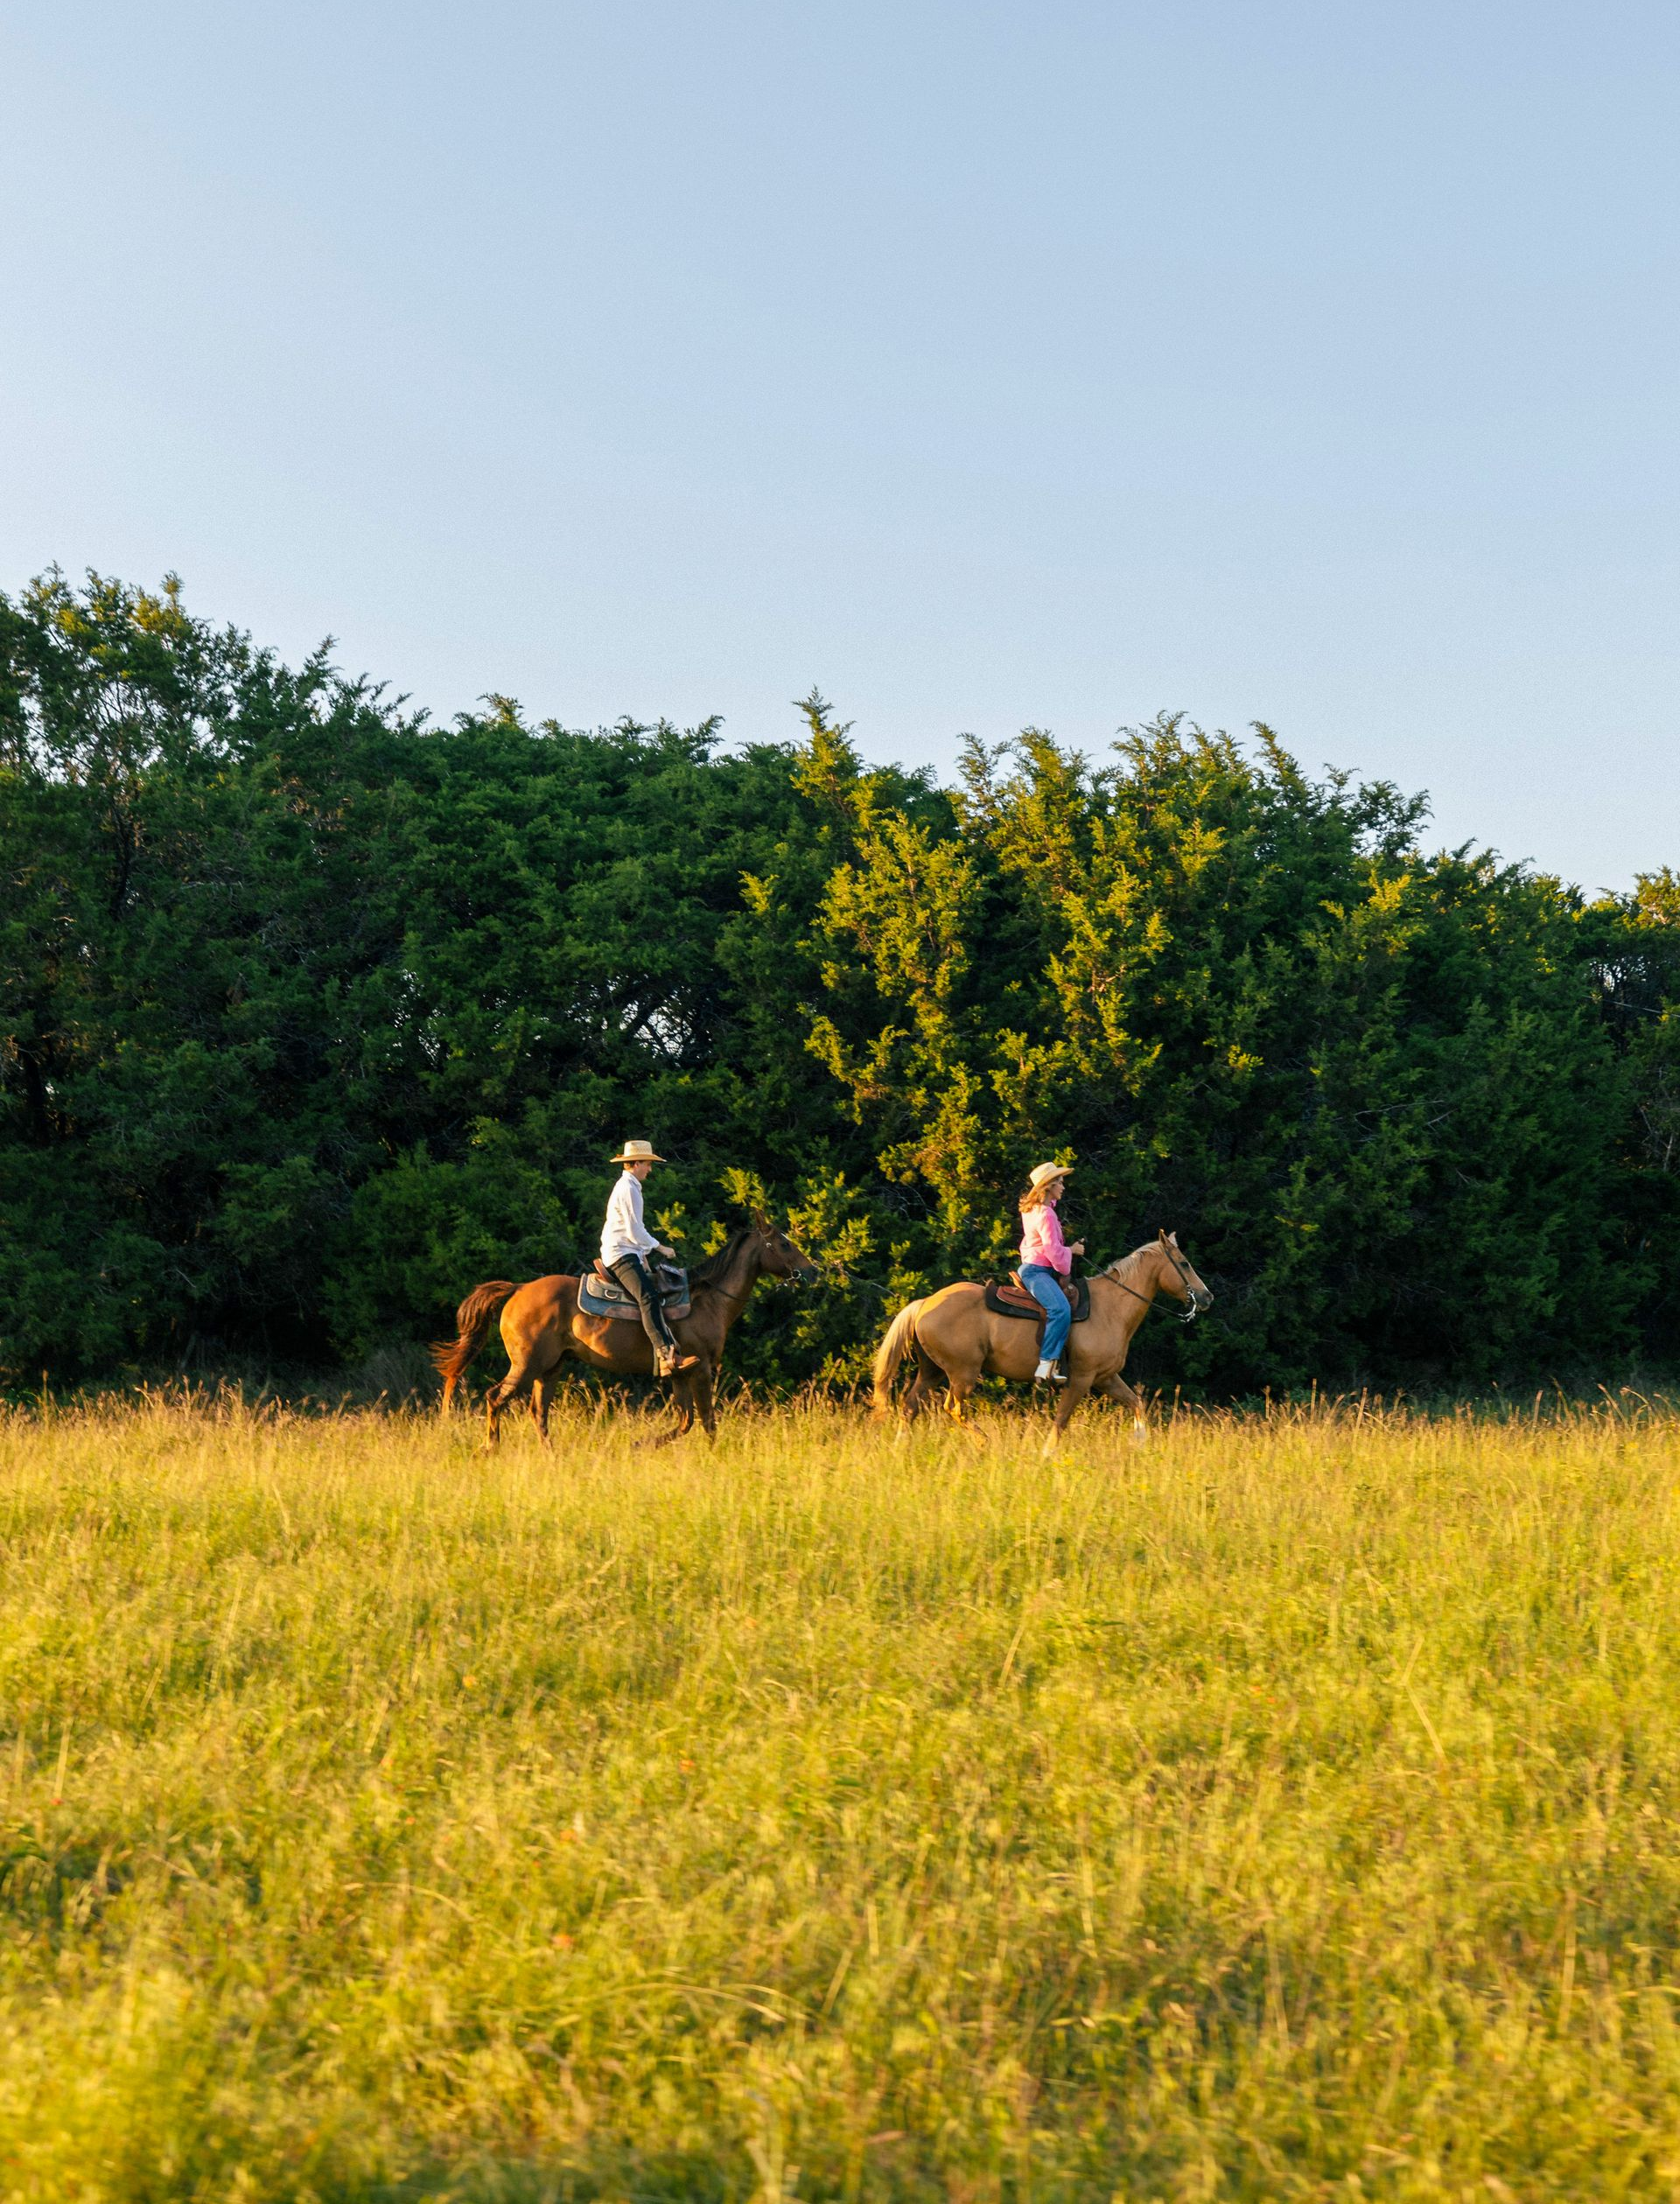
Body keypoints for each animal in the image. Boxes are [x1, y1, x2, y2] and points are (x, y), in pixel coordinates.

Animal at [430, 1212, 819, 1445]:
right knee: (496, 1398)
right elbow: (706, 1421)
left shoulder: (680, 1373)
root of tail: (519, 1289)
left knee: (538, 1412)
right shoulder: (703, 1369)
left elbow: (686, 1421)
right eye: (783, 1243)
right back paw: (490, 1448)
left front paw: (639, 1444)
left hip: (550, 1367)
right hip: (527, 1364)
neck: (709, 1300)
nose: (813, 1271)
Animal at [870, 1230, 1212, 1447]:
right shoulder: (1081, 1379)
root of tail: (925, 1303)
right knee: (953, 1408)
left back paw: (901, 1447)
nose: (1207, 1297)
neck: (1110, 1307)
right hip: (962, 1372)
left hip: (932, 1371)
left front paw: (1140, 1442)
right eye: (1184, 1263)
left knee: (910, 1406)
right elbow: (1061, 1420)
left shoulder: (1106, 1377)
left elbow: (1136, 1402)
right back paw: (985, 1441)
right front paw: (1048, 1454)